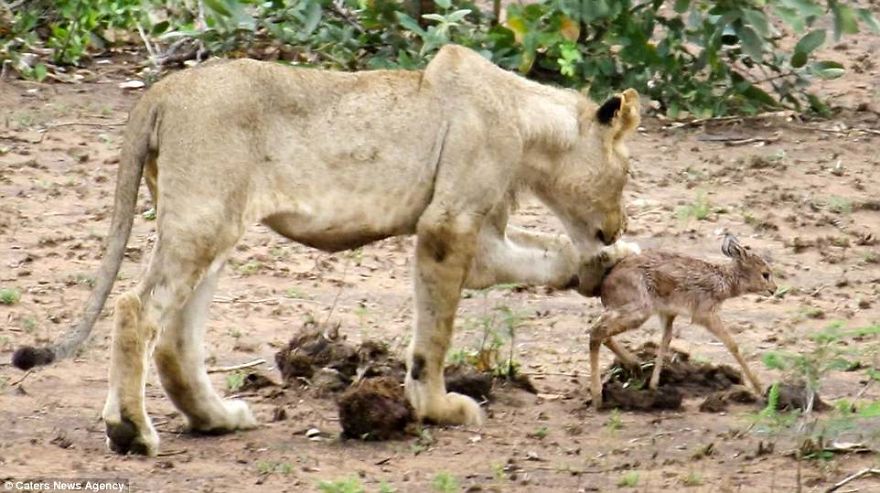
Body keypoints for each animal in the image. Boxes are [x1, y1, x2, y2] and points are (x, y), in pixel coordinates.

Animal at [12, 45, 640, 456]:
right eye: (627, 173)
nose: (620, 225)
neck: (528, 126)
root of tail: (163, 89)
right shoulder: (448, 225)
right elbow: (433, 336)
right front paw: (437, 408)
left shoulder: (480, 237)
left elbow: (544, 254)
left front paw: (602, 265)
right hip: (202, 219)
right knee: (136, 308)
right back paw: (132, 432)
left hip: (211, 223)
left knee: (175, 337)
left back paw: (217, 419)